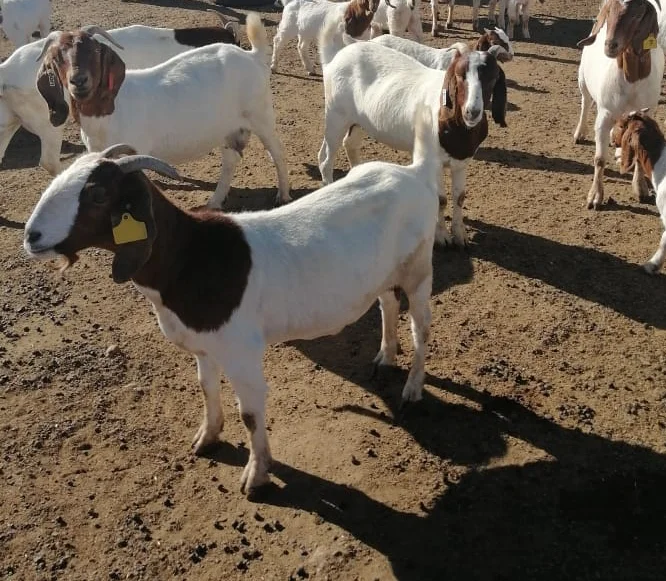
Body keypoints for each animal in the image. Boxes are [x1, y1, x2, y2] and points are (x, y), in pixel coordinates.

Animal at [23, 102, 440, 494]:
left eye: (96, 194)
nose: (31, 236)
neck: (191, 256)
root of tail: (416, 174)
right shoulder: (204, 346)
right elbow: (206, 388)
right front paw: (206, 437)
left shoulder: (242, 353)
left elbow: (251, 415)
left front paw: (257, 475)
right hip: (383, 273)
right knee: (388, 302)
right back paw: (385, 356)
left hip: (420, 270)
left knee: (422, 329)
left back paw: (412, 389)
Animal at [35, 15, 290, 208]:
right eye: (57, 57)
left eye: (96, 51)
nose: (79, 81)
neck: (107, 113)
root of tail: (252, 56)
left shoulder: (134, 152)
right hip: (229, 128)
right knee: (230, 160)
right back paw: (214, 202)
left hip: (261, 115)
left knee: (278, 152)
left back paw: (283, 196)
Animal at [575, 0, 663, 209]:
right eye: (610, 12)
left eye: (637, 15)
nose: (610, 45)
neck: (632, 80)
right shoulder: (604, 115)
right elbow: (599, 159)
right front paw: (595, 197)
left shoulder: (646, 115)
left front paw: (641, 189)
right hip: (583, 78)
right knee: (585, 103)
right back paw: (579, 133)